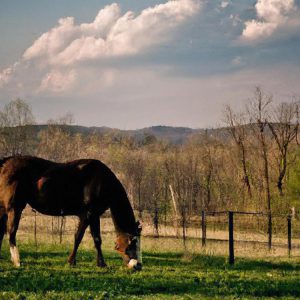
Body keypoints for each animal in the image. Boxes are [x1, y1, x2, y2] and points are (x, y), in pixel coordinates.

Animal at [0, 156, 142, 270]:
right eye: (133, 242)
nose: (138, 266)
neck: (102, 181)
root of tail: (5, 162)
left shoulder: (95, 216)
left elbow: (97, 239)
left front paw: (100, 263)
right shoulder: (87, 215)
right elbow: (80, 237)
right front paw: (72, 261)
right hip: (14, 208)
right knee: (11, 232)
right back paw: (17, 261)